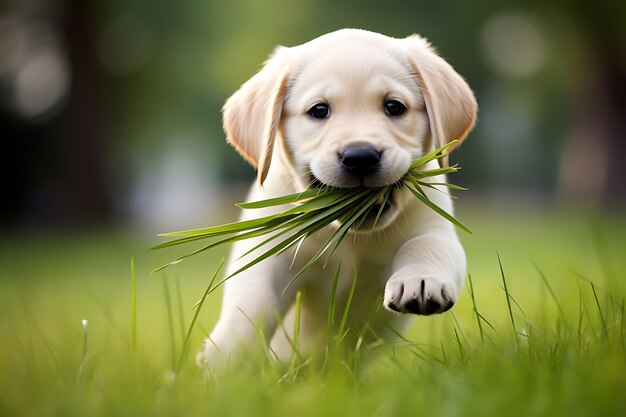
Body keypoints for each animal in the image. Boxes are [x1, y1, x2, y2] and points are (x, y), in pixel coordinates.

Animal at [197, 28, 476, 368]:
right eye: (319, 110)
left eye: (394, 107)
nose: (360, 156)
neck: (352, 235)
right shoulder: (272, 251)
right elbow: (254, 300)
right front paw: (229, 354)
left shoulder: (435, 227)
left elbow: (426, 246)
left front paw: (420, 281)